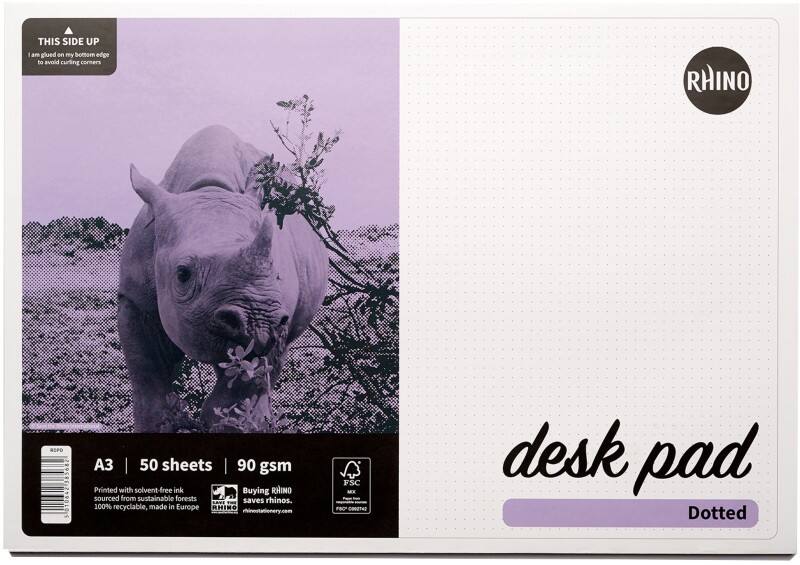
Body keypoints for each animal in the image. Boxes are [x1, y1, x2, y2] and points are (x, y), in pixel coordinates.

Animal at [118, 125, 329, 432]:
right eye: (183, 274)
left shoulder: (276, 317)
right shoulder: (134, 299)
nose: (257, 323)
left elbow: (239, 387)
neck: (209, 189)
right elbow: (149, 379)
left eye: (277, 273)